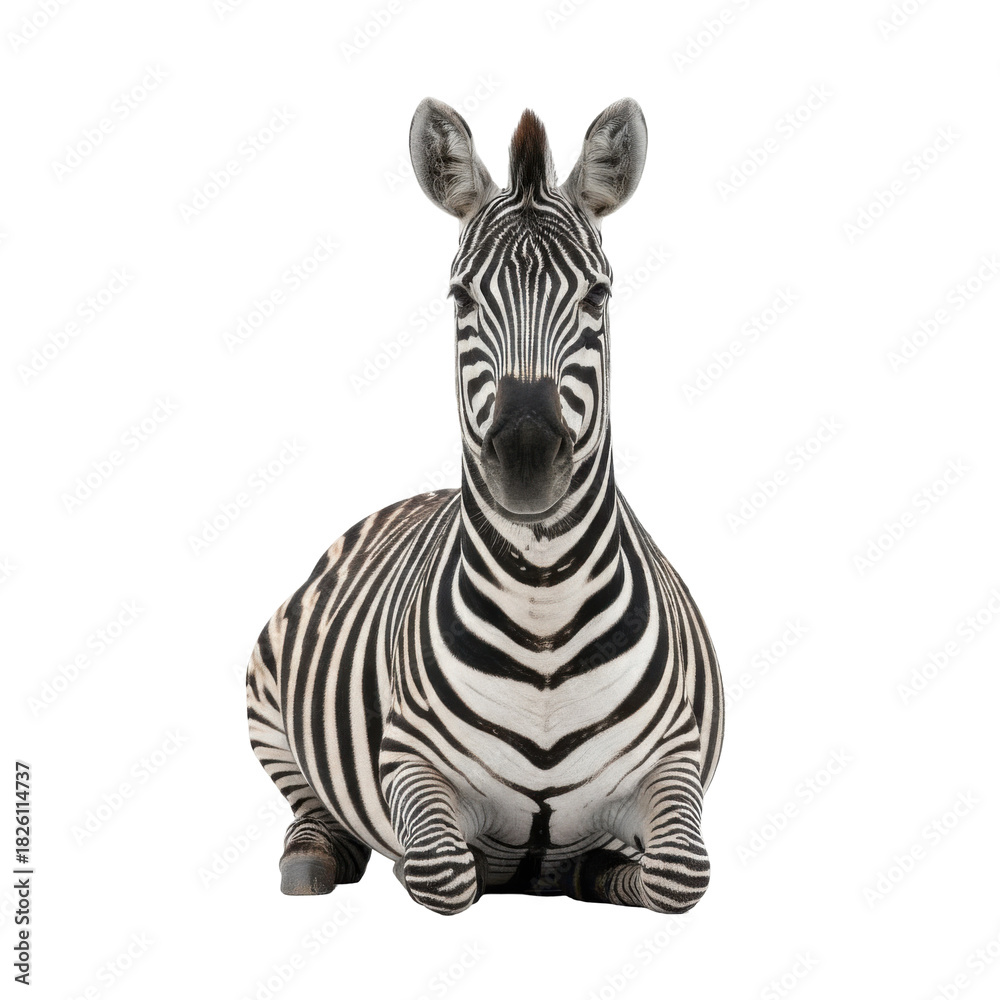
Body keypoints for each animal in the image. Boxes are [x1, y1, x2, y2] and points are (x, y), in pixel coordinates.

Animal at [246, 97, 724, 915]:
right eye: (460, 296)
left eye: (598, 296)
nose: (527, 465)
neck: (544, 608)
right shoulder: (406, 762)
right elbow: (441, 872)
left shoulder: (675, 759)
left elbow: (680, 873)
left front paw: (599, 869)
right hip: (266, 694)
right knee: (308, 805)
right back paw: (312, 857)